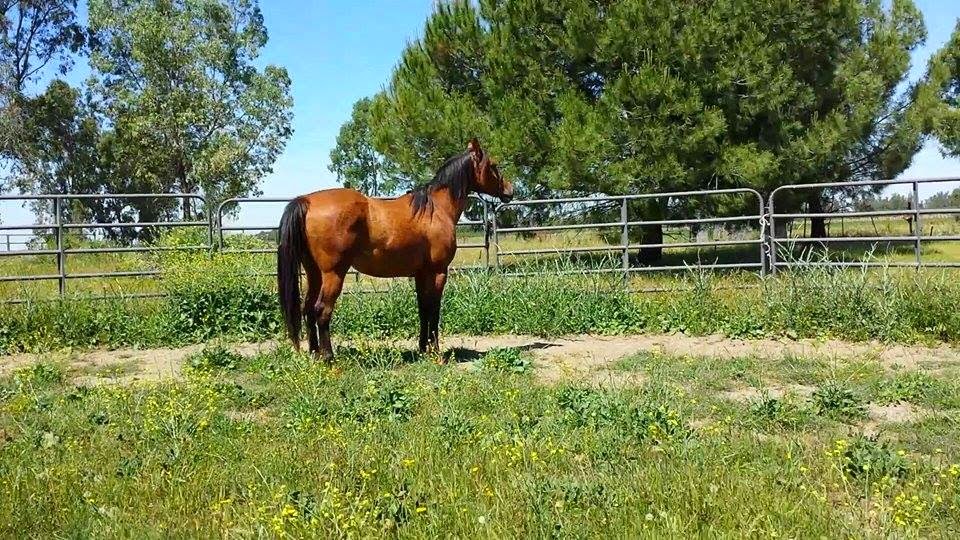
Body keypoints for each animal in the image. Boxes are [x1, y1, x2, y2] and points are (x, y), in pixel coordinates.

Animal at [276, 138, 514, 360]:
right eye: (493, 165)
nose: (510, 190)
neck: (436, 209)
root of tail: (306, 201)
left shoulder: (421, 273)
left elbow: (423, 308)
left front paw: (422, 348)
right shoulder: (438, 272)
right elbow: (434, 309)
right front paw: (436, 352)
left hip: (314, 273)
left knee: (308, 309)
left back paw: (314, 353)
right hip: (333, 274)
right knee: (321, 311)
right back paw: (328, 357)